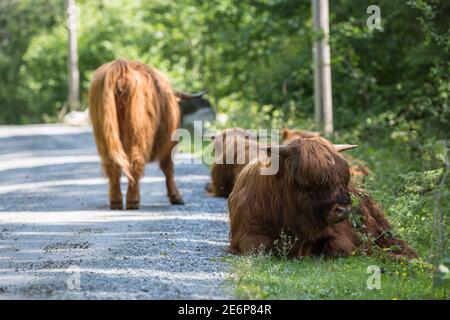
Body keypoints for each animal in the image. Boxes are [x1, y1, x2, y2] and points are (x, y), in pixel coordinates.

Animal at [89, 58, 185, 209]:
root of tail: (121, 67)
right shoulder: (169, 143)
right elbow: (168, 167)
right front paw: (176, 197)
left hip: (103, 132)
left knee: (111, 164)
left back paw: (116, 201)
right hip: (139, 132)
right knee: (136, 160)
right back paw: (133, 200)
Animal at [229, 137, 418, 260]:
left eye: (343, 178)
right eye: (310, 180)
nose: (344, 209)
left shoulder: (340, 234)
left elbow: (339, 247)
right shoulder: (247, 234)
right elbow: (258, 247)